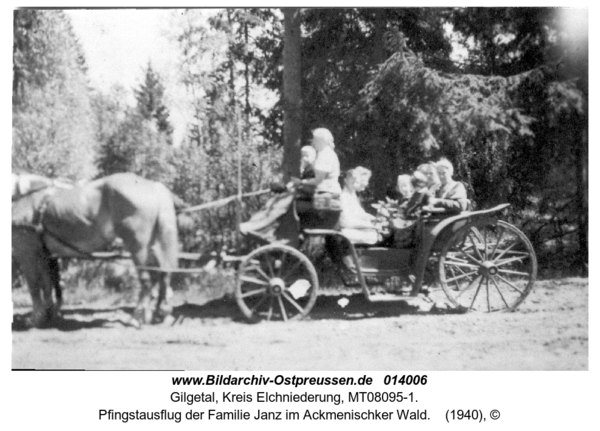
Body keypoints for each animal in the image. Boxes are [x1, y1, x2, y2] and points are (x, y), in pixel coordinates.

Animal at [11, 172, 178, 328]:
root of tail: (154, 186)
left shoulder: (26, 252)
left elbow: (34, 285)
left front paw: (35, 319)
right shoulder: (44, 255)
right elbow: (47, 284)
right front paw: (48, 315)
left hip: (138, 247)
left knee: (147, 279)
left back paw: (137, 318)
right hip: (155, 245)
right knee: (163, 275)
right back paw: (161, 313)